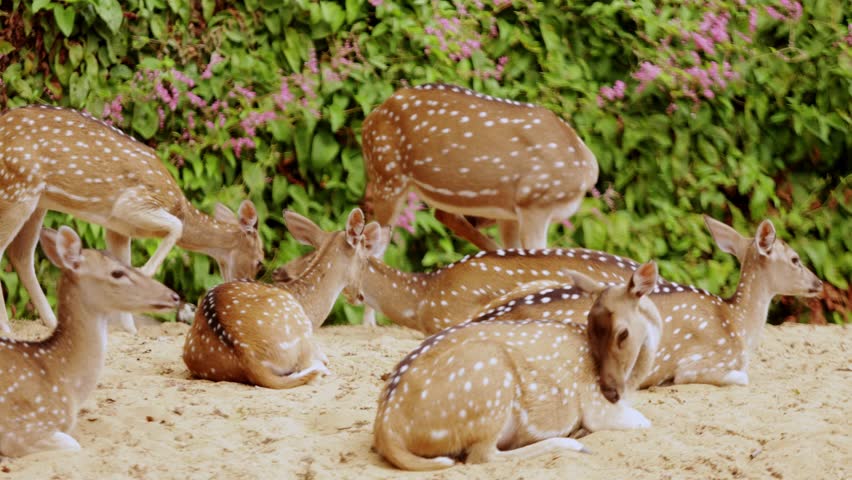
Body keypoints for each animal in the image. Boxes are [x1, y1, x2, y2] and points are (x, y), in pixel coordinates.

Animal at [0, 105, 264, 335]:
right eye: (260, 262)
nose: (245, 287)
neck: (179, 205)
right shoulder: (131, 203)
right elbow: (176, 226)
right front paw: (145, 270)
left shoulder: (118, 227)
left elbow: (122, 262)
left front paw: (131, 330)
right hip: (16, 190)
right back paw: (8, 328)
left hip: (38, 202)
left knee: (21, 255)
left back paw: (52, 323)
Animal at [373, 262, 662, 470]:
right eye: (589, 327)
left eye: (622, 333)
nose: (611, 392)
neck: (632, 383)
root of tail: (387, 430)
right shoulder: (597, 408)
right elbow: (644, 422)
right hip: (490, 387)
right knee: (481, 455)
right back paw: (573, 443)